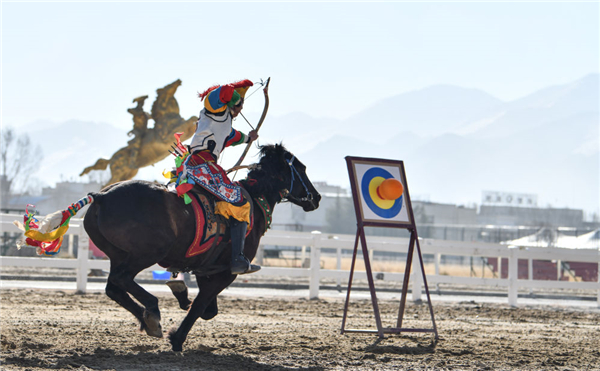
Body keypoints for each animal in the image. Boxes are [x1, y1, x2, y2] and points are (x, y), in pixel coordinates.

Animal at [83, 145, 324, 352]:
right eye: (302, 168)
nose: (317, 197)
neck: (256, 202)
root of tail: (102, 196)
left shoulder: (207, 268)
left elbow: (207, 308)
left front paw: (181, 293)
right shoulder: (226, 272)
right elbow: (200, 306)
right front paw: (177, 338)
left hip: (118, 255)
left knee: (113, 287)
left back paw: (148, 318)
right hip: (145, 254)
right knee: (122, 279)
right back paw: (152, 311)